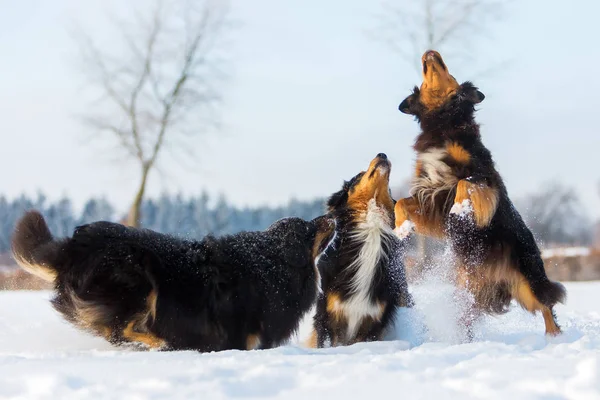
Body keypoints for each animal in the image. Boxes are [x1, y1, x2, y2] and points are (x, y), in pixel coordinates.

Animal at [11, 211, 336, 352]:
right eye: (309, 227)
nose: (331, 216)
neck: (270, 264)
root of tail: (72, 247)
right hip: (136, 280)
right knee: (120, 330)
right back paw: (161, 342)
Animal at [396, 49, 564, 338]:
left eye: (448, 70)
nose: (430, 51)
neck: (443, 123)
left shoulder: (483, 176)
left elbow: (465, 184)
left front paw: (461, 207)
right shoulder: (432, 198)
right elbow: (402, 203)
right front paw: (401, 228)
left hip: (528, 282)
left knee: (547, 304)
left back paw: (555, 337)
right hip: (468, 289)